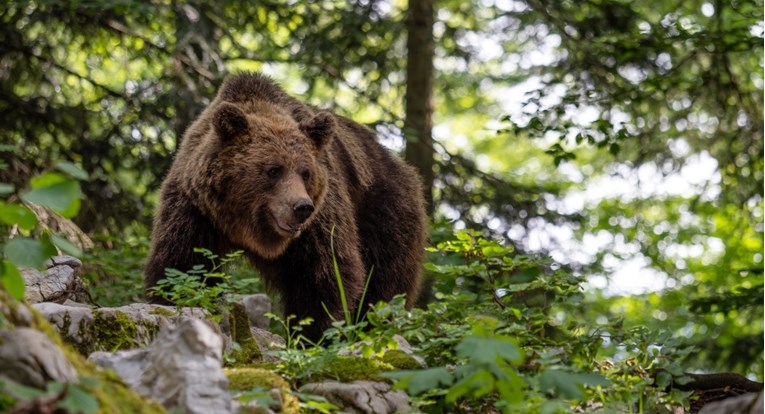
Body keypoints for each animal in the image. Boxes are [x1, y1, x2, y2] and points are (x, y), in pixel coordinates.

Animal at [145, 73, 430, 342]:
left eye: (305, 172)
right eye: (274, 169)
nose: (302, 207)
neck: (247, 227)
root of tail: (404, 168)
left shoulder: (320, 220)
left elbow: (324, 274)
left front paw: (311, 335)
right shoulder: (196, 209)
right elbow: (182, 268)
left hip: (386, 212)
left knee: (383, 287)